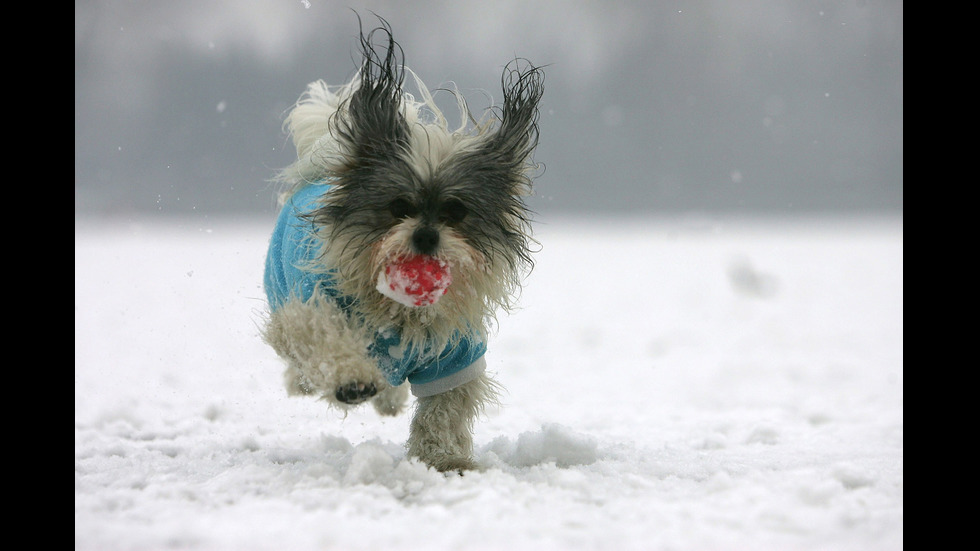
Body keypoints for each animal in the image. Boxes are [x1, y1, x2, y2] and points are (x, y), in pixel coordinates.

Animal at [262, 19, 544, 472]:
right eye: (398, 206)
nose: (425, 235)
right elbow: (325, 337)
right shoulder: (312, 307)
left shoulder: (454, 356)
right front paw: (351, 378)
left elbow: (444, 410)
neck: (398, 312)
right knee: (296, 354)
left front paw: (444, 459)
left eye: (456, 211)